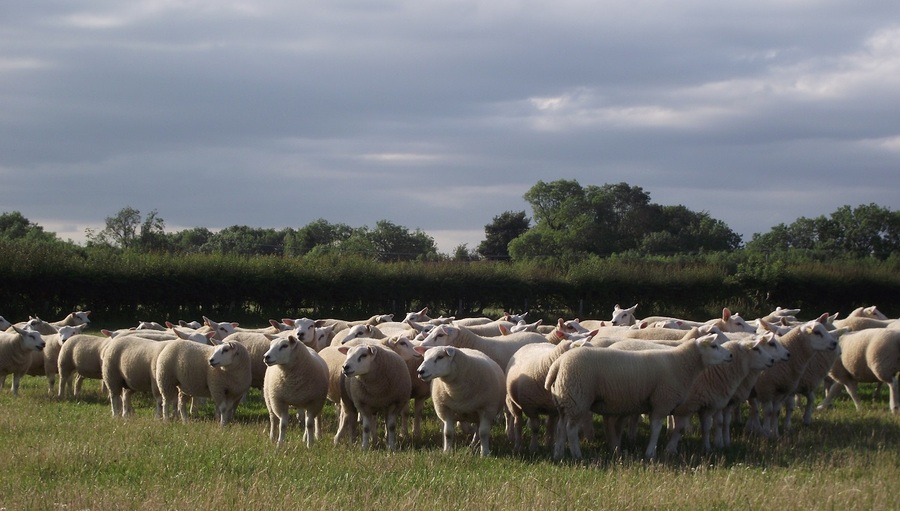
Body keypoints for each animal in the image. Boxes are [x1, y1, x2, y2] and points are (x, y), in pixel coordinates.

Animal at [540, 334, 732, 462]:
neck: (681, 363)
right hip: (577, 398)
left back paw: (558, 454)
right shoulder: (662, 401)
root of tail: (558, 364)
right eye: (714, 346)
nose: (730, 356)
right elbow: (656, 428)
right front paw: (650, 453)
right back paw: (577, 455)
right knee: (571, 429)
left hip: (565, 400)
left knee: (561, 428)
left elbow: (677, 428)